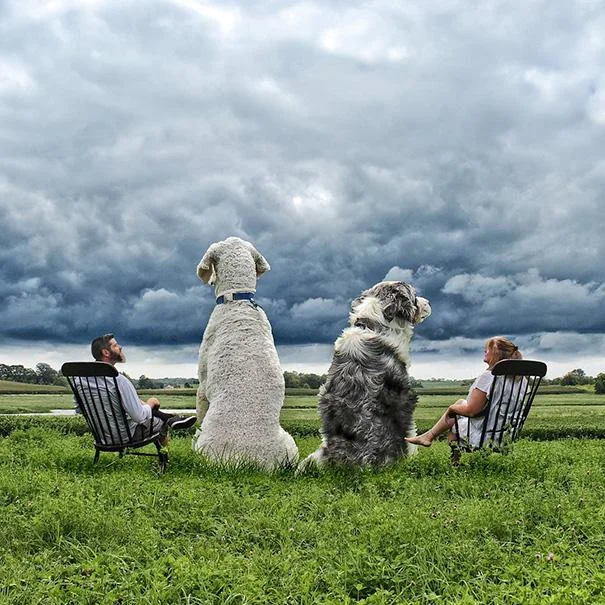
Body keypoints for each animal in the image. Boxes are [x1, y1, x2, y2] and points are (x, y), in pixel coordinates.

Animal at [300, 280, 430, 470]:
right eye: (414, 296)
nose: (428, 302)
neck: (374, 326)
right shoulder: (404, 398)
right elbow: (410, 434)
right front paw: (412, 459)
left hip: (315, 455)